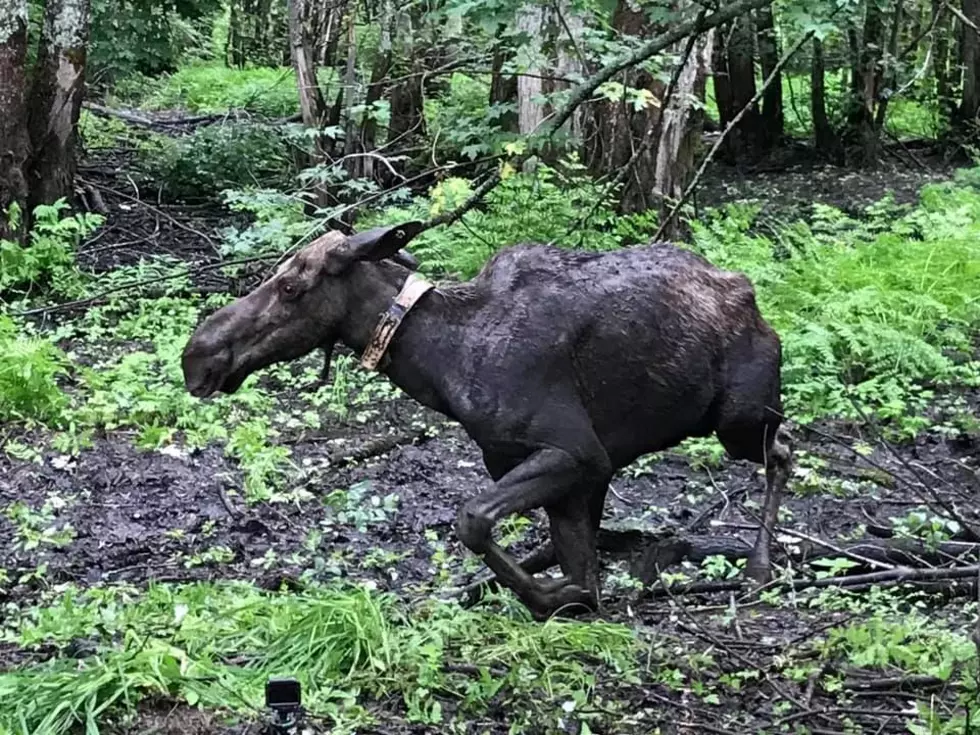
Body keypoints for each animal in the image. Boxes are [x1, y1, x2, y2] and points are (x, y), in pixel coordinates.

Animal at [184, 224, 792, 620]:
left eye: (291, 286)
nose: (198, 354)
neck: (443, 361)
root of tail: (748, 291)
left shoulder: (576, 453)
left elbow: (474, 520)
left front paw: (552, 598)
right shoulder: (551, 465)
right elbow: (578, 567)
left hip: (738, 421)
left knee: (783, 453)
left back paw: (758, 568)